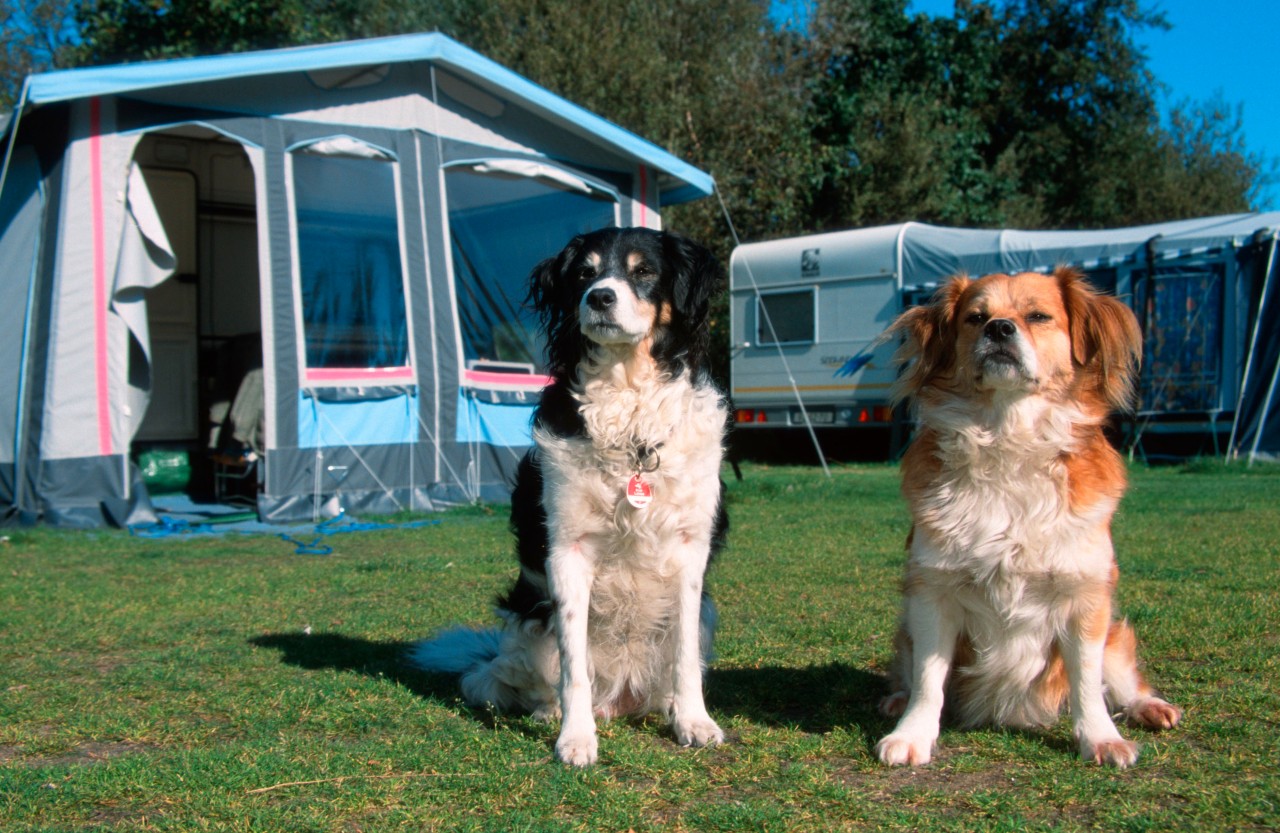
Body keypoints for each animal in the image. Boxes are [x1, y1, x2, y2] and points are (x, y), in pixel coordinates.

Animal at [412, 225, 732, 767]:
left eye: (644, 271)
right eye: (584, 273)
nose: (600, 297)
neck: (629, 410)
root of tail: (620, 700)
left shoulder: (692, 551)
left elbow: (686, 655)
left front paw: (693, 721)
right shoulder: (568, 549)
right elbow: (573, 664)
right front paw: (575, 737)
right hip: (527, 628)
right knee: (508, 679)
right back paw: (551, 714)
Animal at [880, 267, 1177, 767]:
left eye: (1038, 316)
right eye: (975, 318)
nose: (999, 328)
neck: (1007, 435)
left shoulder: (1087, 597)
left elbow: (1086, 683)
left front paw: (1101, 739)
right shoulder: (932, 592)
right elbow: (928, 679)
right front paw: (912, 733)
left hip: (1114, 634)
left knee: (1121, 682)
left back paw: (1150, 707)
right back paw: (895, 699)